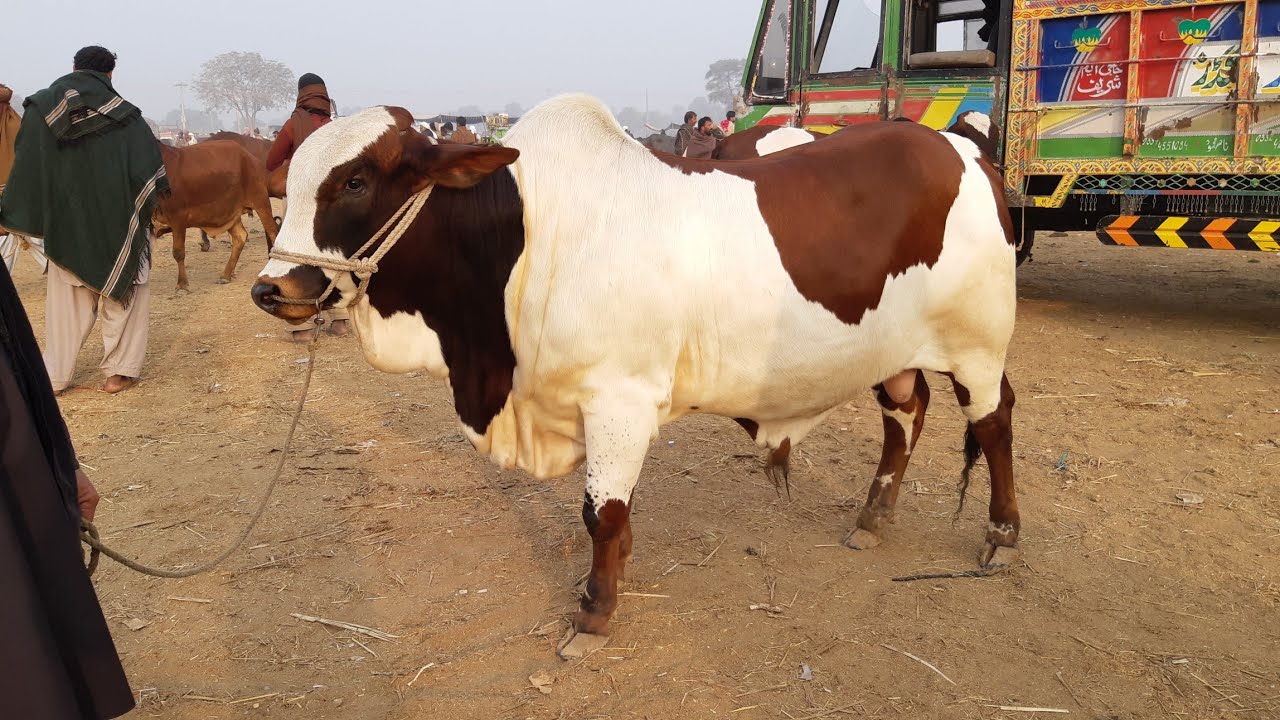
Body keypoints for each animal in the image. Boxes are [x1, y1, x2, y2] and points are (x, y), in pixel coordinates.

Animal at [154, 140, 280, 291]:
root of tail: (249, 157)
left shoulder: (178, 217)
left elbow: (178, 252)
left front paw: (182, 285)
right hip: (232, 213)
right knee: (240, 237)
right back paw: (225, 276)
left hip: (260, 201)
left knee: (273, 231)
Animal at [251, 96, 1020, 658]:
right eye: (292, 182)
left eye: (355, 180)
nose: (271, 287)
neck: (525, 238)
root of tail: (964, 148)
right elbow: (612, 513)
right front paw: (616, 571)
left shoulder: (618, 399)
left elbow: (602, 511)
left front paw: (595, 611)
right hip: (895, 352)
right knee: (906, 410)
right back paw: (874, 516)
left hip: (978, 345)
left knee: (994, 421)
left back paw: (1002, 533)